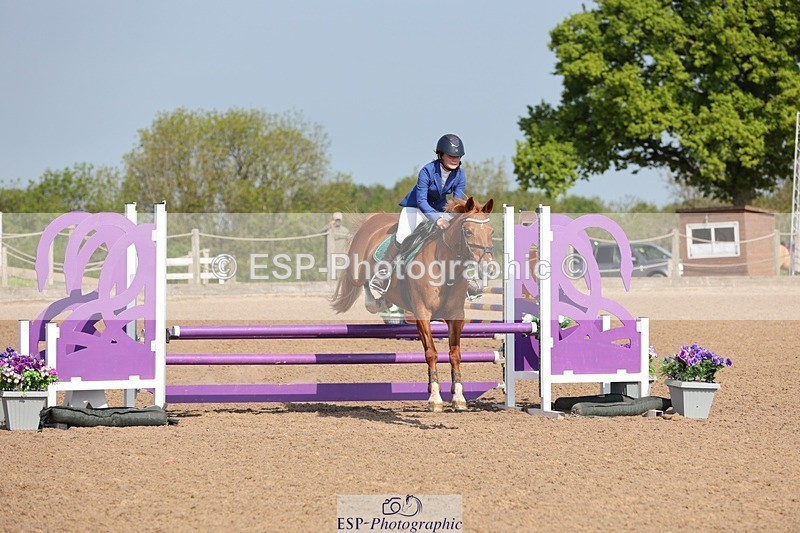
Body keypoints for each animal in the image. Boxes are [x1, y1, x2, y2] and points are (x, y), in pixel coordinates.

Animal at [330, 197, 495, 411]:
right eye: (468, 232)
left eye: (491, 231)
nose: (489, 268)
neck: (444, 265)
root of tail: (373, 218)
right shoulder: (422, 313)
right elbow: (432, 353)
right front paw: (435, 399)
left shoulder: (456, 315)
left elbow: (455, 354)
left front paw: (458, 397)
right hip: (356, 272)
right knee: (363, 284)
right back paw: (376, 300)